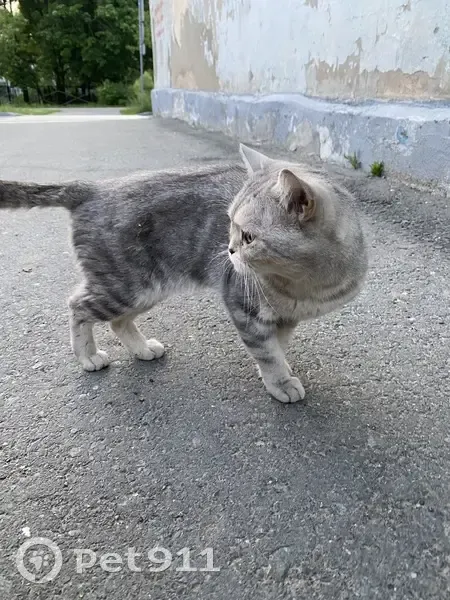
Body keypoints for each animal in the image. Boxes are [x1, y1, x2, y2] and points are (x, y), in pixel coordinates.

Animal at [0, 144, 368, 403]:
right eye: (229, 223)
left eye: (248, 237)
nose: (229, 250)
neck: (303, 286)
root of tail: (93, 188)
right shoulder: (242, 305)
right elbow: (266, 351)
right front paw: (279, 381)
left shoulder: (287, 317)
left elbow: (277, 344)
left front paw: (279, 367)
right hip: (125, 285)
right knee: (77, 305)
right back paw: (88, 356)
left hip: (146, 288)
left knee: (117, 321)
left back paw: (141, 349)